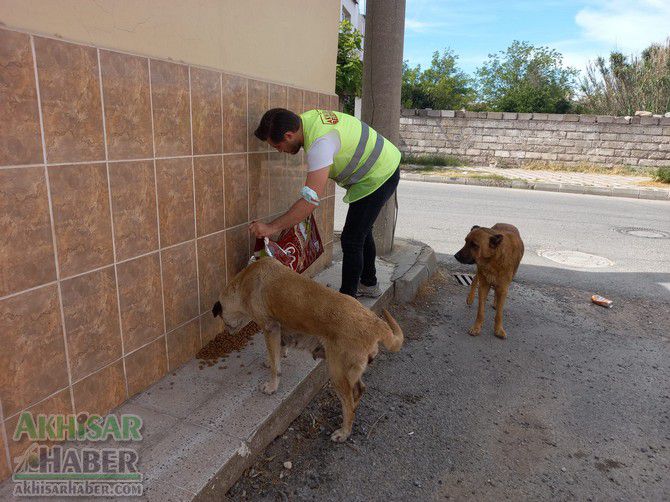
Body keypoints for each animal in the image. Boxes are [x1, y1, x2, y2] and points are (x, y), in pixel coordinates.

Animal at [214, 256, 404, 442]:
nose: (229, 332)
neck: (245, 281)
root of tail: (375, 323)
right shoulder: (281, 330)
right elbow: (278, 351)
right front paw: (274, 358)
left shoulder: (270, 328)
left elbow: (275, 366)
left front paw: (272, 385)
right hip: (350, 371)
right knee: (358, 391)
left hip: (337, 372)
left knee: (348, 402)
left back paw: (344, 432)